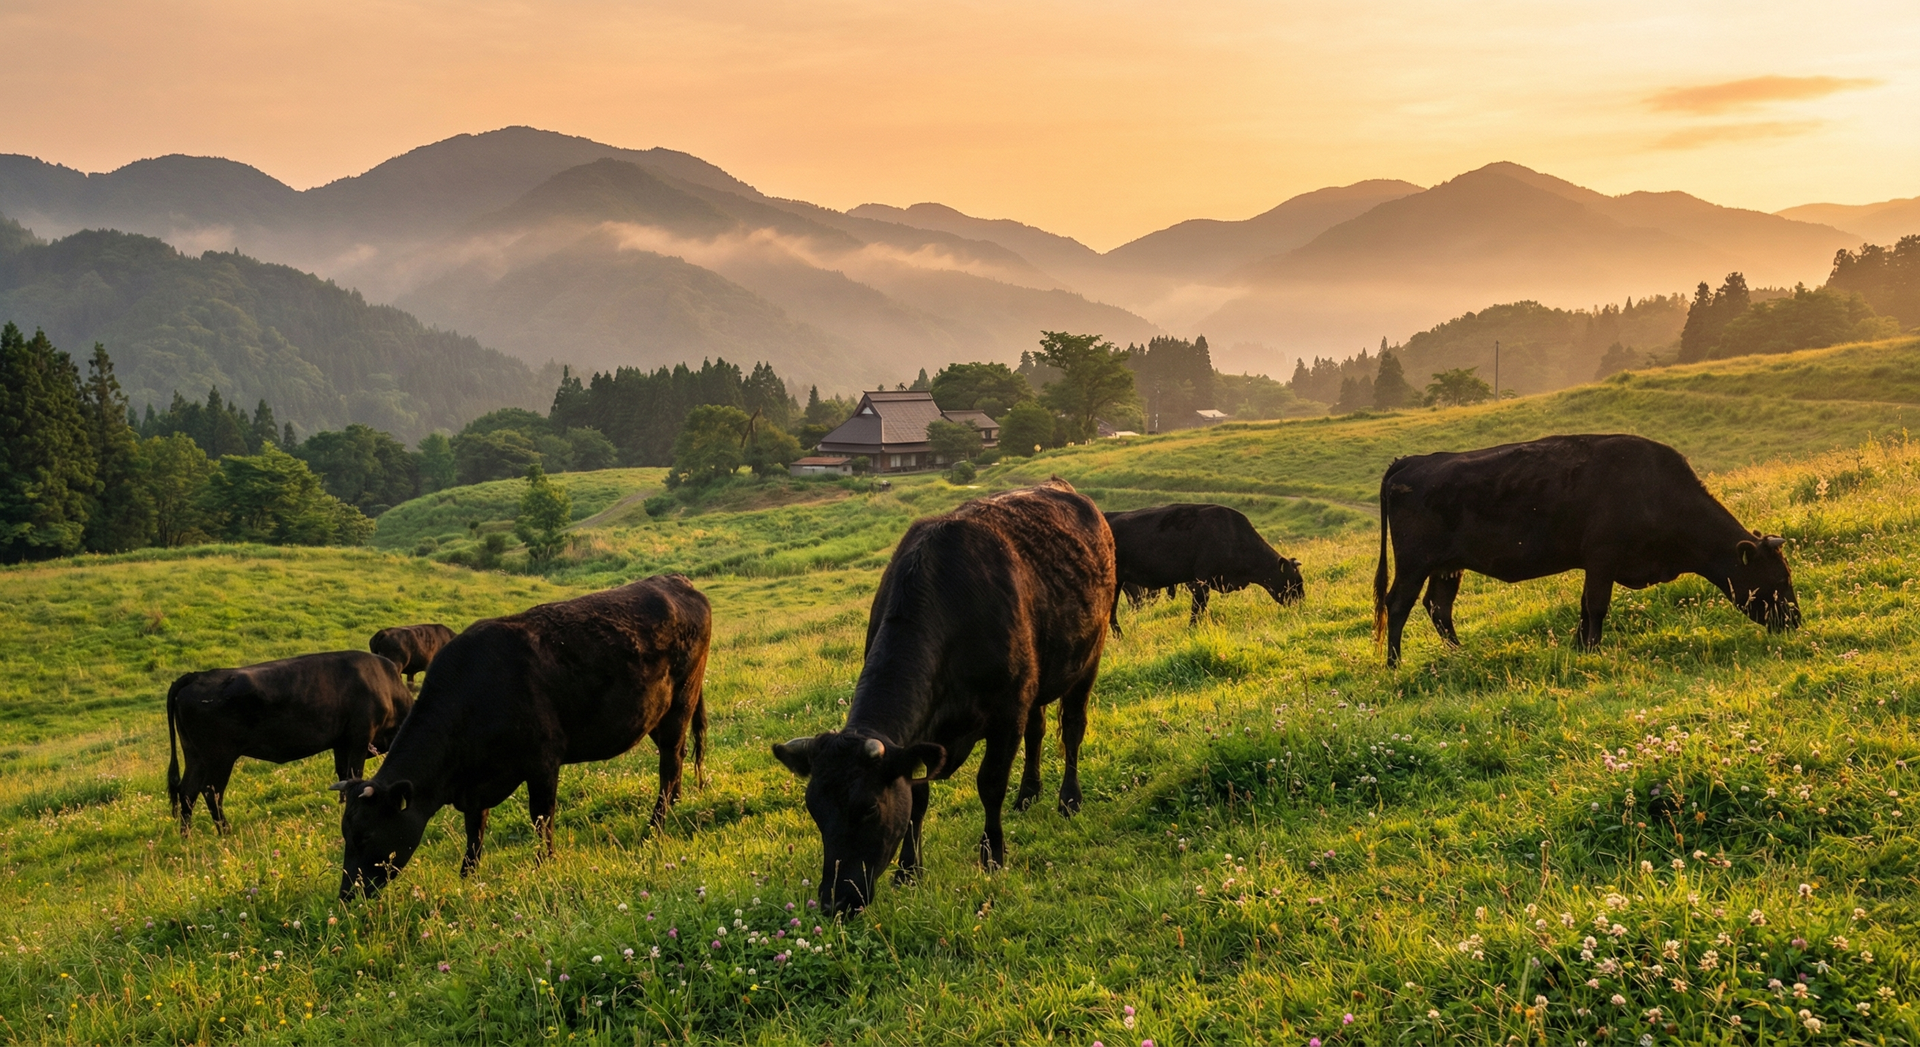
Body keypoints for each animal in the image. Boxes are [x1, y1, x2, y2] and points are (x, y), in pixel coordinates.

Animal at [165, 651, 413, 835]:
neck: (384, 685)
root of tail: (197, 676)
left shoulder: (341, 744)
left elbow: (343, 775)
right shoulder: (359, 739)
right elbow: (354, 774)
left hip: (195, 755)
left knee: (187, 791)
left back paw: (186, 836)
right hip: (219, 758)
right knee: (211, 792)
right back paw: (226, 832)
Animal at [336, 574, 711, 899]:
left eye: (365, 835)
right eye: (345, 834)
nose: (347, 894)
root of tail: (676, 580)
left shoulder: (543, 761)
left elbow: (541, 817)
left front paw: (544, 864)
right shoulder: (475, 785)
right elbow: (475, 831)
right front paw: (467, 876)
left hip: (681, 703)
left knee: (669, 764)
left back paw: (656, 825)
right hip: (658, 716)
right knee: (676, 759)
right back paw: (675, 805)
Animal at [771, 479, 1115, 916]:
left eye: (868, 808)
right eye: (814, 809)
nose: (835, 901)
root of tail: (1062, 486)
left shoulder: (1006, 713)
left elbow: (990, 784)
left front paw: (992, 857)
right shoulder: (923, 736)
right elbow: (917, 798)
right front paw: (908, 871)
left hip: (1089, 656)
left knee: (1071, 727)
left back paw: (1068, 800)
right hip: (1039, 682)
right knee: (1037, 730)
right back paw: (1028, 794)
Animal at [1373, 433, 1800, 667]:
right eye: (1780, 577)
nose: (1796, 621)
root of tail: (1411, 461)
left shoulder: (1595, 564)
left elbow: (1583, 607)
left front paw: (1579, 647)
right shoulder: (1602, 558)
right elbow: (1596, 606)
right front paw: (1592, 649)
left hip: (1448, 566)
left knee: (1438, 607)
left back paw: (1461, 654)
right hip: (1413, 565)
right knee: (1398, 605)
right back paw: (1394, 663)